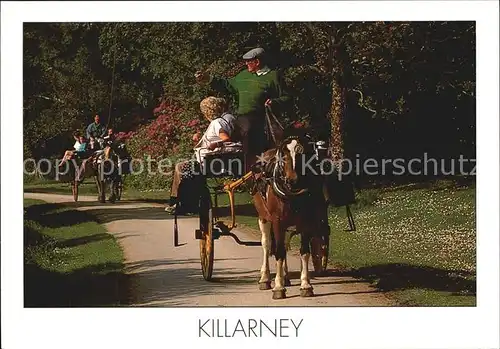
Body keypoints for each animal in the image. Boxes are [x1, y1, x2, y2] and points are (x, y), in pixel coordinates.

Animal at [252, 130, 330, 300]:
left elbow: (305, 252)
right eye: (284, 156)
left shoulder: (307, 222)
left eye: (302, 154)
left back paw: (286, 276)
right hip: (263, 217)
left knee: (285, 243)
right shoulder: (277, 221)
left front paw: (306, 285)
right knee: (267, 244)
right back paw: (265, 278)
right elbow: (279, 252)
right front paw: (278, 287)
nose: (292, 180)